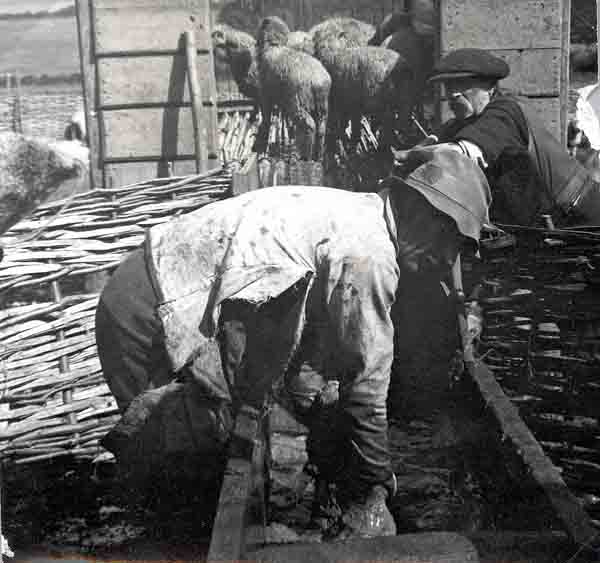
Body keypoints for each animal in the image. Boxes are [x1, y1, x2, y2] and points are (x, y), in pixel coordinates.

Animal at [254, 16, 332, 161]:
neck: (274, 46)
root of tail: (317, 80)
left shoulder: (266, 94)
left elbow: (266, 119)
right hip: (322, 104)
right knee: (321, 128)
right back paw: (318, 156)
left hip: (297, 101)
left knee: (309, 125)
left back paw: (306, 156)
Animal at [314, 20, 418, 154]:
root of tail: (404, 67)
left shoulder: (349, 103)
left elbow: (348, 128)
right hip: (404, 100)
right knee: (400, 122)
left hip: (388, 103)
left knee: (389, 125)